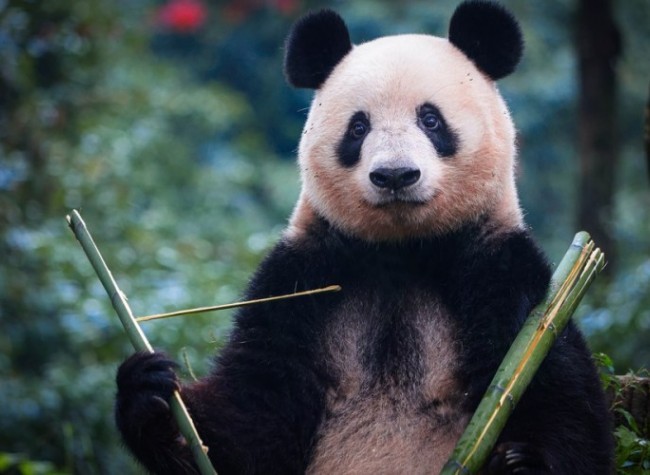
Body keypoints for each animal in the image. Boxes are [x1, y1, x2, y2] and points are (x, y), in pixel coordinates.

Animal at [115, 1, 613, 474]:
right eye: (358, 127)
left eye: (430, 120)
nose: (395, 175)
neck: (402, 250)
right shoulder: (299, 278)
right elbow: (252, 416)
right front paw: (151, 398)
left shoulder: (502, 270)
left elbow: (554, 391)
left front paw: (523, 462)